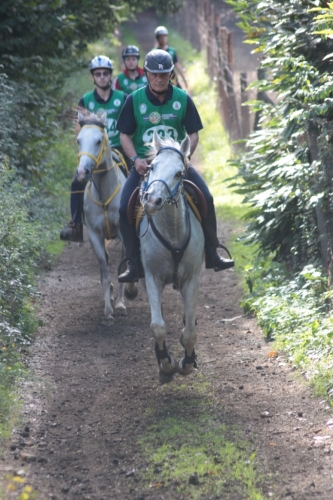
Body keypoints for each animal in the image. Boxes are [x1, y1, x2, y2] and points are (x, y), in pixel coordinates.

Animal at [76, 111, 137, 326]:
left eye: (98, 141)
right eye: (78, 141)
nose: (82, 172)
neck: (104, 192)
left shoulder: (124, 234)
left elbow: (123, 267)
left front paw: (120, 304)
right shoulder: (95, 235)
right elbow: (105, 271)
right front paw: (108, 311)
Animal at [139, 133, 204, 382]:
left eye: (178, 173)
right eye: (152, 167)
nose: (151, 201)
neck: (172, 231)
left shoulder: (191, 279)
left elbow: (190, 332)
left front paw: (187, 362)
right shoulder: (151, 277)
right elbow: (158, 326)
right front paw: (166, 363)